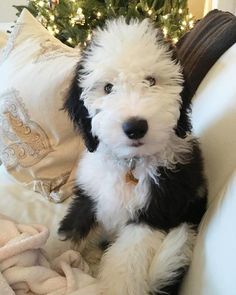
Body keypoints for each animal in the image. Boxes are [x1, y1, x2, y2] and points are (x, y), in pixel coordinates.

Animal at [59, 18, 206, 295]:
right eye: (108, 88)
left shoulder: (152, 215)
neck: (131, 162)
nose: (135, 127)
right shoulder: (90, 197)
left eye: (151, 80)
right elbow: (71, 234)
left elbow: (125, 265)